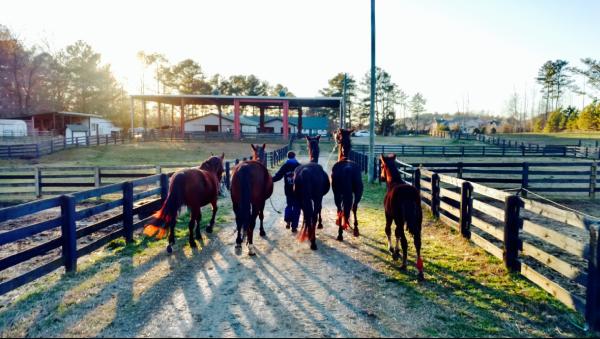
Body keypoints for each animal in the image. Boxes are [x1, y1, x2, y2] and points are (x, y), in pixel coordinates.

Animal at [382, 154, 424, 282]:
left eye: (381, 166)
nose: (381, 177)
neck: (393, 183)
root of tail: (408, 195)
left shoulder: (389, 215)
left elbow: (389, 230)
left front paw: (393, 251)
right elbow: (397, 234)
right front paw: (396, 251)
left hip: (399, 219)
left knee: (405, 241)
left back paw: (404, 265)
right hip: (418, 222)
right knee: (417, 241)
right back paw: (420, 271)